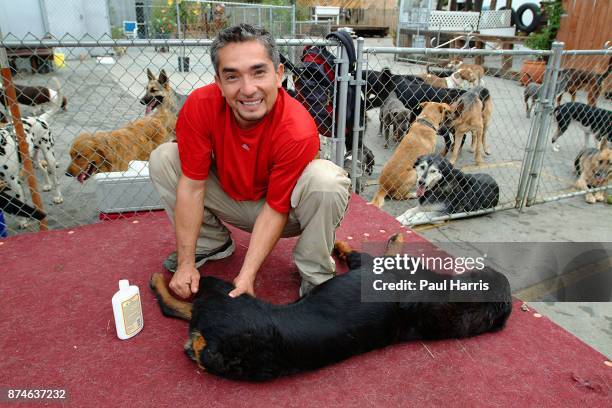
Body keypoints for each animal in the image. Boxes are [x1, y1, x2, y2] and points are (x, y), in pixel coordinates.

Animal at [149, 234, 512, 380]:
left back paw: (160, 281)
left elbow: (367, 252)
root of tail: (214, 350)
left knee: (180, 304)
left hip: (224, 294)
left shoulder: (372, 264)